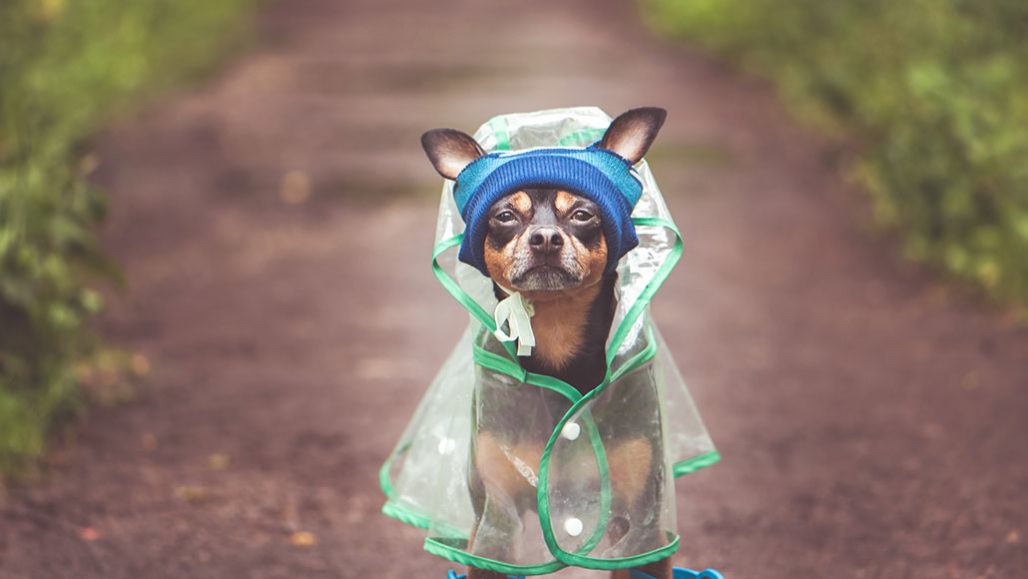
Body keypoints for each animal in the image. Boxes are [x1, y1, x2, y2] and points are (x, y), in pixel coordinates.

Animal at [421, 107, 670, 579]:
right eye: (504, 216)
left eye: (582, 214)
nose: (545, 238)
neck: (556, 335)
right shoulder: (497, 527)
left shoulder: (643, 527)